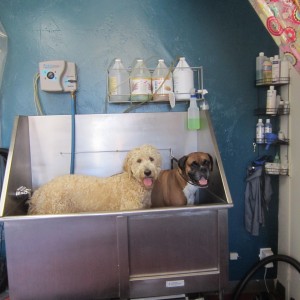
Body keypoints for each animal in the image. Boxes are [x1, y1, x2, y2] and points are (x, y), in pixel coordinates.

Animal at [27, 144, 162, 214]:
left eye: (151, 159)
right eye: (138, 160)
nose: (147, 172)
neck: (134, 183)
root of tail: (41, 190)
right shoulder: (129, 207)